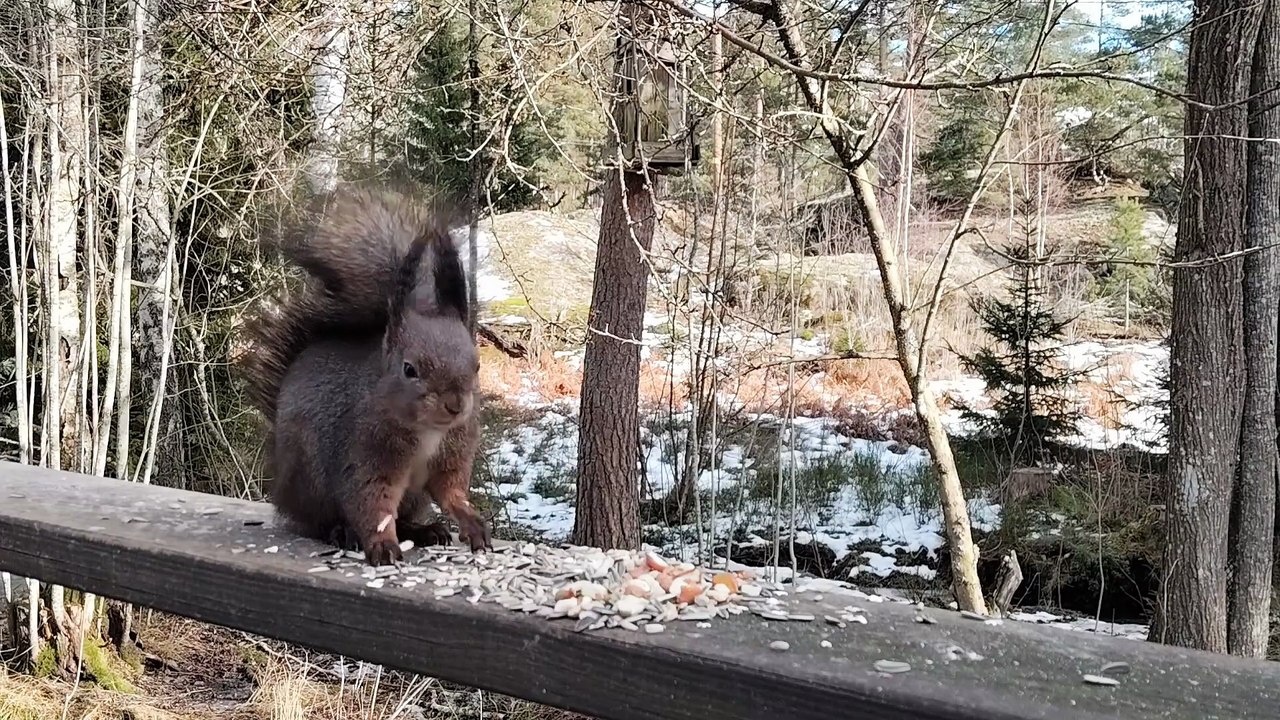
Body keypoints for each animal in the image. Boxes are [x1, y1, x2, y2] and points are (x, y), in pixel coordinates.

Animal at [240, 184, 492, 566]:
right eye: (409, 369)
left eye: (476, 365)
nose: (455, 405)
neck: (428, 431)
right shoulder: (364, 454)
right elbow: (371, 503)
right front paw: (381, 545)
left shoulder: (452, 456)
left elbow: (452, 492)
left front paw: (472, 522)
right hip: (310, 478)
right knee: (316, 521)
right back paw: (341, 532)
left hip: (413, 498)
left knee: (403, 517)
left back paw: (423, 531)